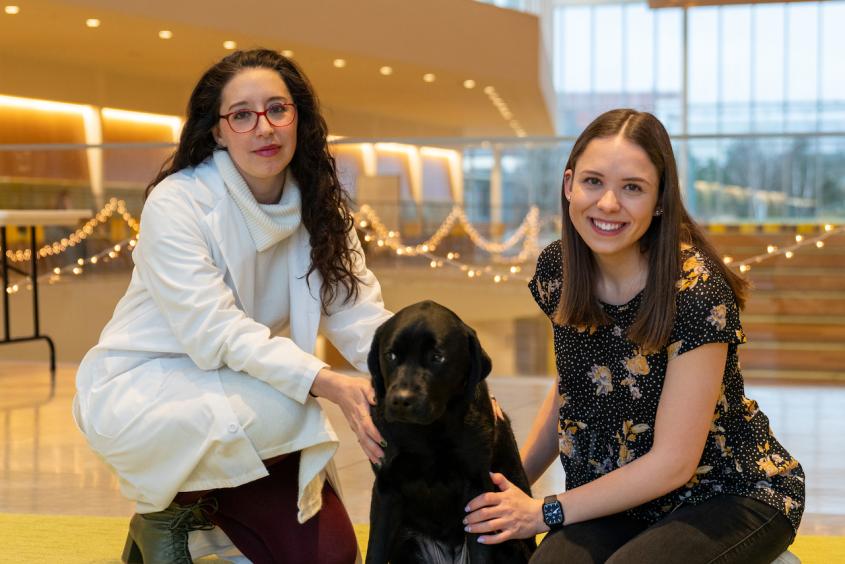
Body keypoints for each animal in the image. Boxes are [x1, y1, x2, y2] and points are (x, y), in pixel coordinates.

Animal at [364, 302, 536, 560]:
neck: (427, 433)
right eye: (391, 355)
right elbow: (374, 551)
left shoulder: (478, 492)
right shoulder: (386, 487)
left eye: (437, 357)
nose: (401, 400)